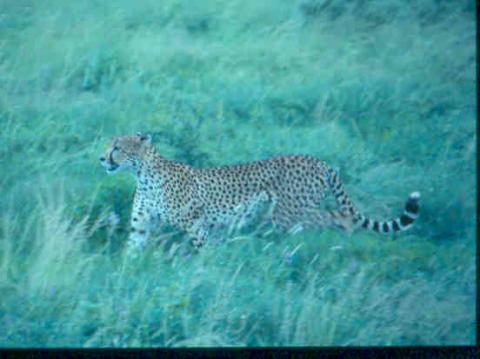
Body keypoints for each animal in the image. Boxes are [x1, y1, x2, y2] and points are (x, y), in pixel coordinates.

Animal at [100, 134, 420, 252]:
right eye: (109, 145)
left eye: (117, 147)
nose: (102, 159)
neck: (143, 173)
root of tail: (319, 160)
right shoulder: (142, 226)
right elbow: (132, 251)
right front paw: (125, 277)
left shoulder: (196, 224)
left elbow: (204, 251)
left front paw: (205, 272)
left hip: (287, 214)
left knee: (336, 216)